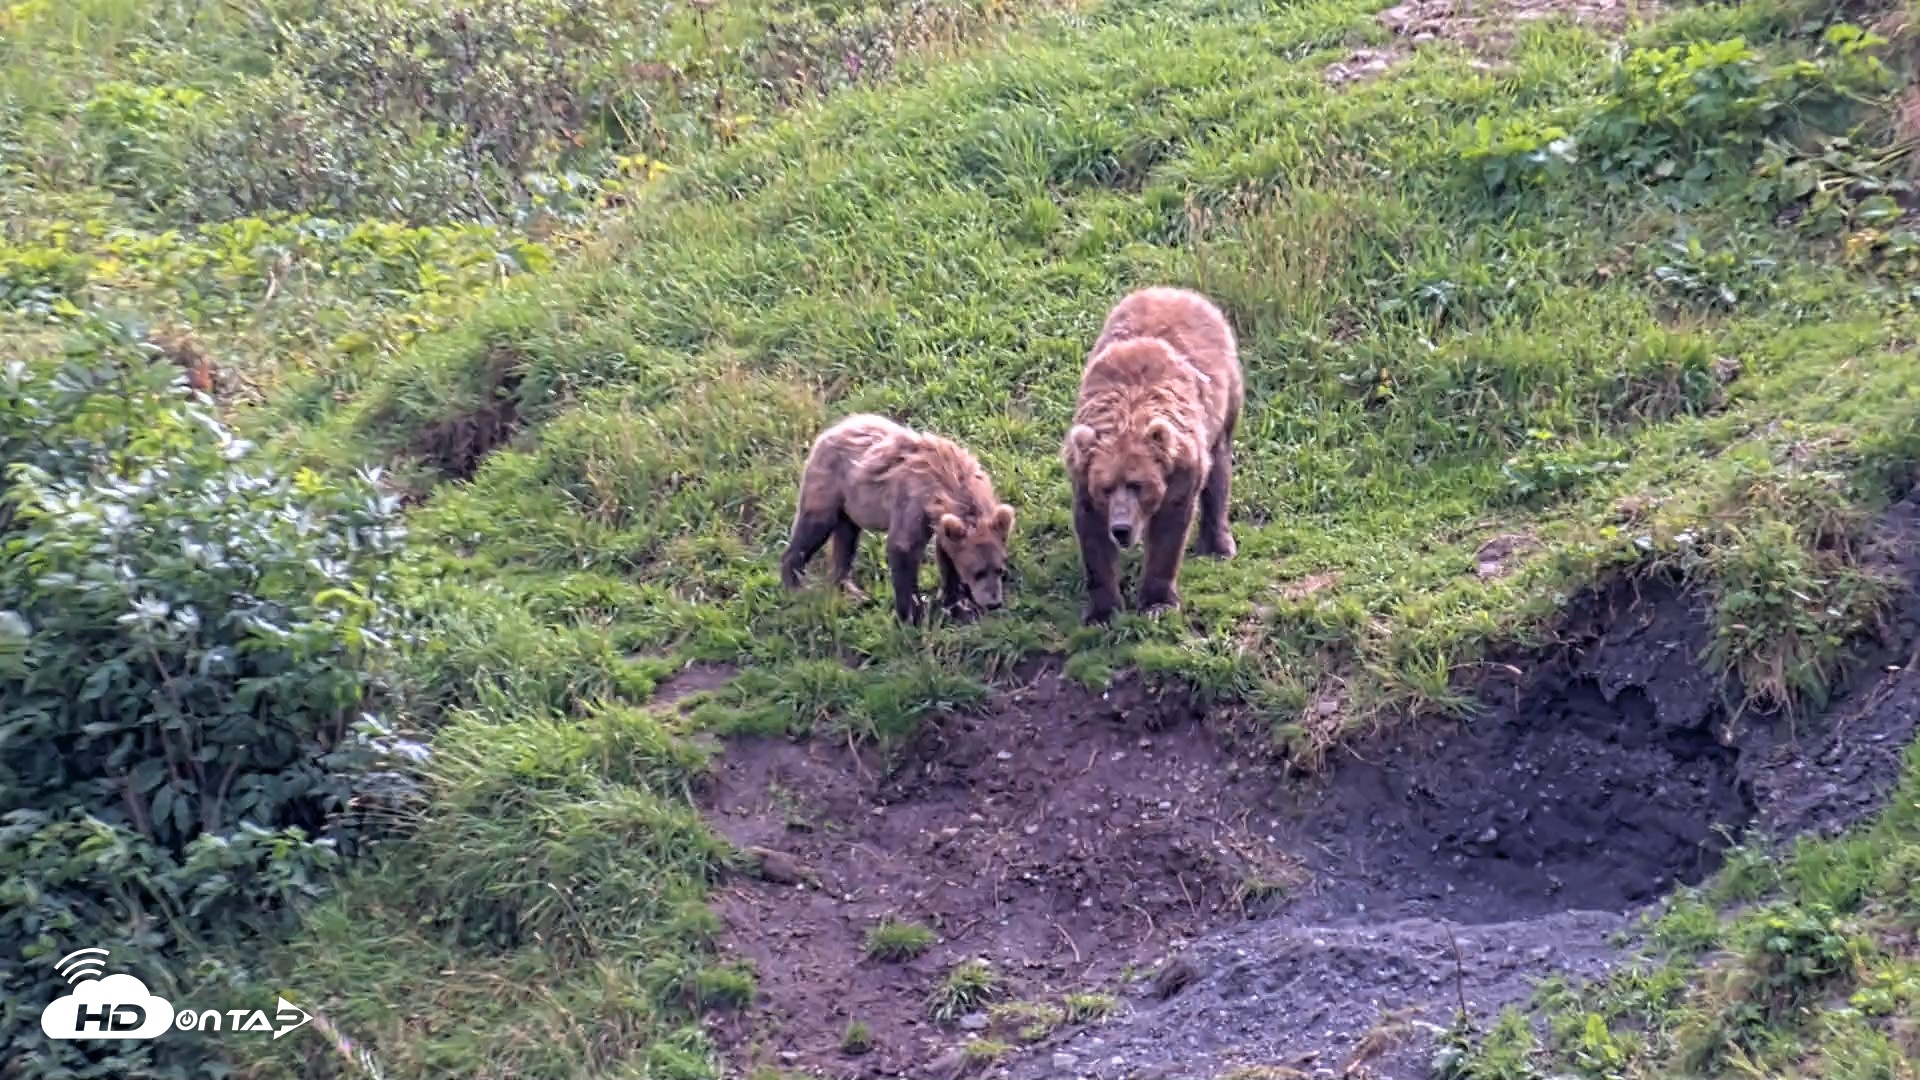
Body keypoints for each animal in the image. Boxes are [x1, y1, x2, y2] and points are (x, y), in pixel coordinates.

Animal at [782, 413, 1016, 624]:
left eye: (1000, 569)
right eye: (978, 572)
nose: (994, 603)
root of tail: (830, 430)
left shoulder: (943, 525)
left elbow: (947, 560)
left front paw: (958, 606)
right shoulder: (912, 504)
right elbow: (903, 549)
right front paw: (912, 613)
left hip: (850, 505)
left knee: (846, 539)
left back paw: (851, 591)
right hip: (828, 485)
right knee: (814, 527)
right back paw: (795, 583)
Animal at [1062, 286, 1244, 625]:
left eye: (1138, 484)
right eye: (1106, 488)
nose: (1121, 528)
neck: (1128, 416)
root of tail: (1174, 290)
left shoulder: (1180, 472)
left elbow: (1169, 532)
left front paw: (1158, 602)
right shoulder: (1083, 477)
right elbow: (1093, 538)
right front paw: (1102, 611)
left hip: (1225, 402)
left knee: (1218, 471)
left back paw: (1219, 545)